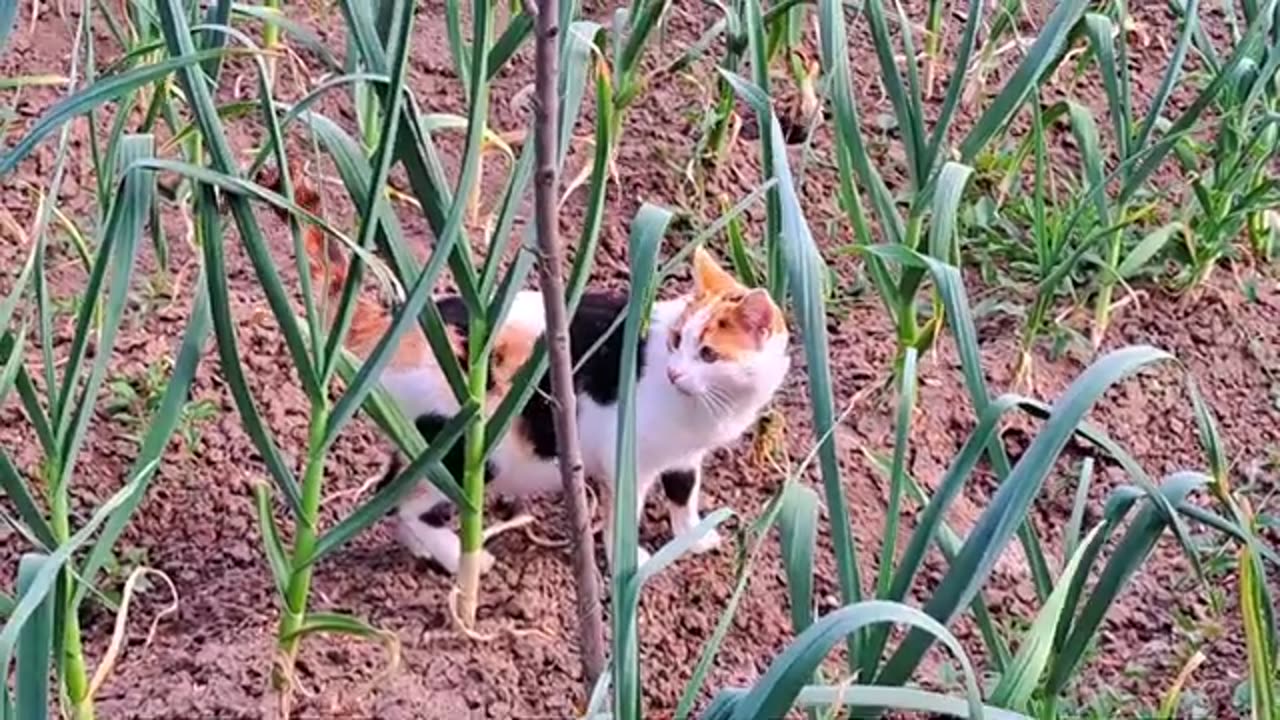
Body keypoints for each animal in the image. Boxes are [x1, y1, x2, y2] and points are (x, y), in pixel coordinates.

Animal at [272, 172, 788, 571]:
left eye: (707, 354)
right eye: (679, 342)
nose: (676, 374)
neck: (709, 410)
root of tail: (400, 326)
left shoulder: (685, 457)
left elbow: (684, 494)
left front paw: (694, 537)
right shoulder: (627, 458)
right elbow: (624, 516)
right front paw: (632, 563)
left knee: (390, 491)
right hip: (465, 449)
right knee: (402, 503)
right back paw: (467, 561)